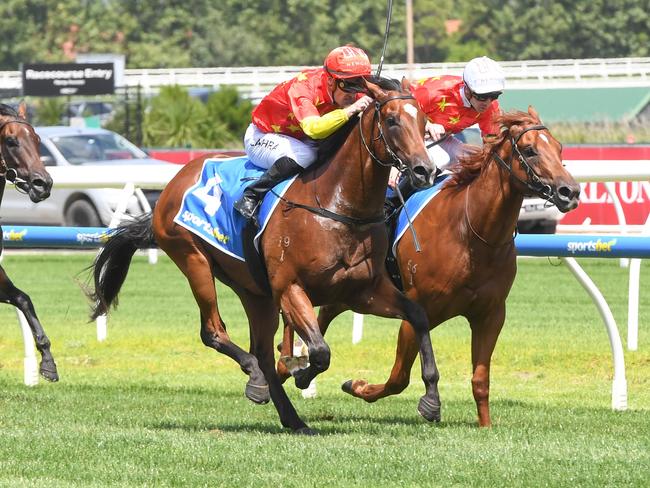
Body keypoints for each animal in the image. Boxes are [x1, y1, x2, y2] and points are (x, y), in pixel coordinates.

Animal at [87, 77, 440, 434]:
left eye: (424, 121)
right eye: (392, 120)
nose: (424, 170)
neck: (337, 205)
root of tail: (174, 182)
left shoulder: (363, 291)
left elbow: (417, 315)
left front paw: (431, 399)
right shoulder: (290, 288)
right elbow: (319, 351)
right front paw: (300, 374)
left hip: (254, 291)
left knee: (261, 350)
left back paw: (289, 415)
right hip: (194, 260)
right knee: (215, 332)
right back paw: (256, 375)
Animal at [280, 106, 580, 424]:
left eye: (559, 147)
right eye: (530, 150)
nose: (570, 191)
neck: (472, 234)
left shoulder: (491, 314)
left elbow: (480, 380)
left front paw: (485, 425)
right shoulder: (419, 310)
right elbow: (398, 377)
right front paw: (359, 385)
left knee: (320, 312)